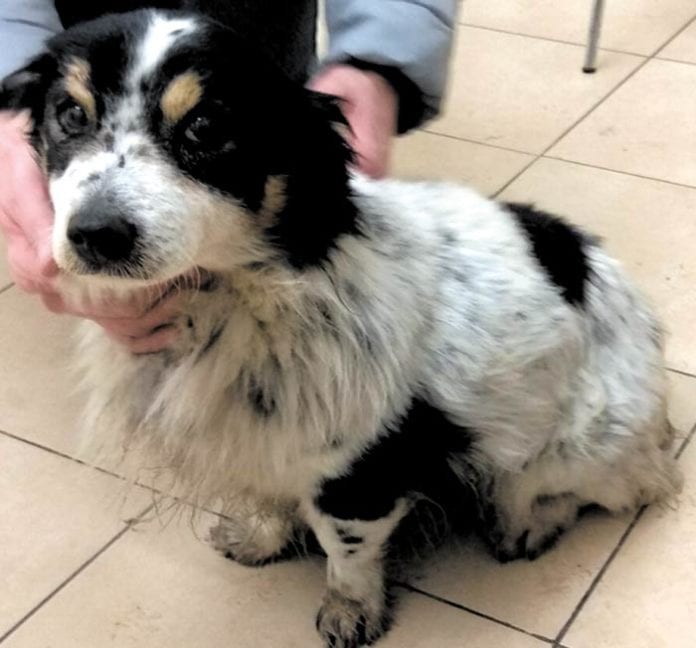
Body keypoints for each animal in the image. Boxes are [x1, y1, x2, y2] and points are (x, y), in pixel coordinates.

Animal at [1, 10, 682, 647]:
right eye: (70, 113)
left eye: (206, 127)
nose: (95, 234)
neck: (237, 299)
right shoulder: (266, 442)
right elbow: (270, 497)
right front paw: (262, 537)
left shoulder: (358, 468)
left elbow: (344, 551)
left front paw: (349, 610)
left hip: (573, 443)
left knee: (612, 486)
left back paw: (529, 523)